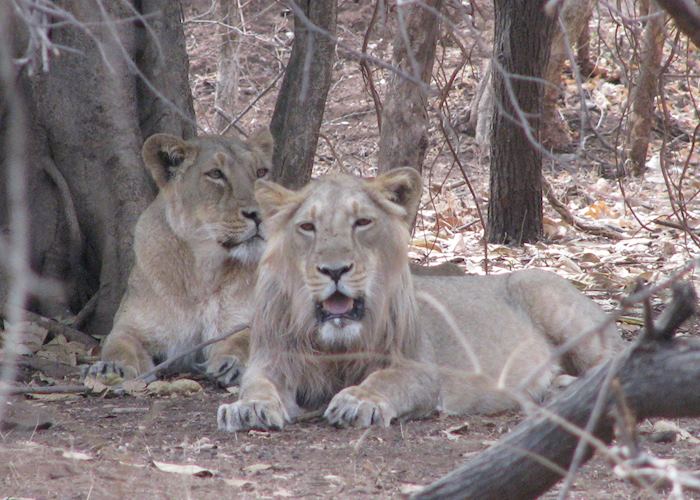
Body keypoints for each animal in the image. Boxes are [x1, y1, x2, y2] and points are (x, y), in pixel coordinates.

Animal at [85, 130, 274, 386]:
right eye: (216, 174)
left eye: (261, 172)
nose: (261, 213)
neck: (204, 271)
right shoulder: (129, 325)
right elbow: (119, 346)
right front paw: (113, 369)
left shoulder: (257, 322)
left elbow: (244, 340)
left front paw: (232, 365)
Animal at [216, 169, 620, 430]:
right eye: (307, 227)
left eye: (362, 223)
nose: (334, 270)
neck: (336, 345)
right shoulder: (272, 360)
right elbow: (256, 383)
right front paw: (248, 408)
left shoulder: (421, 369)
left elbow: (385, 380)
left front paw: (357, 400)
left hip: (544, 292)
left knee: (611, 362)